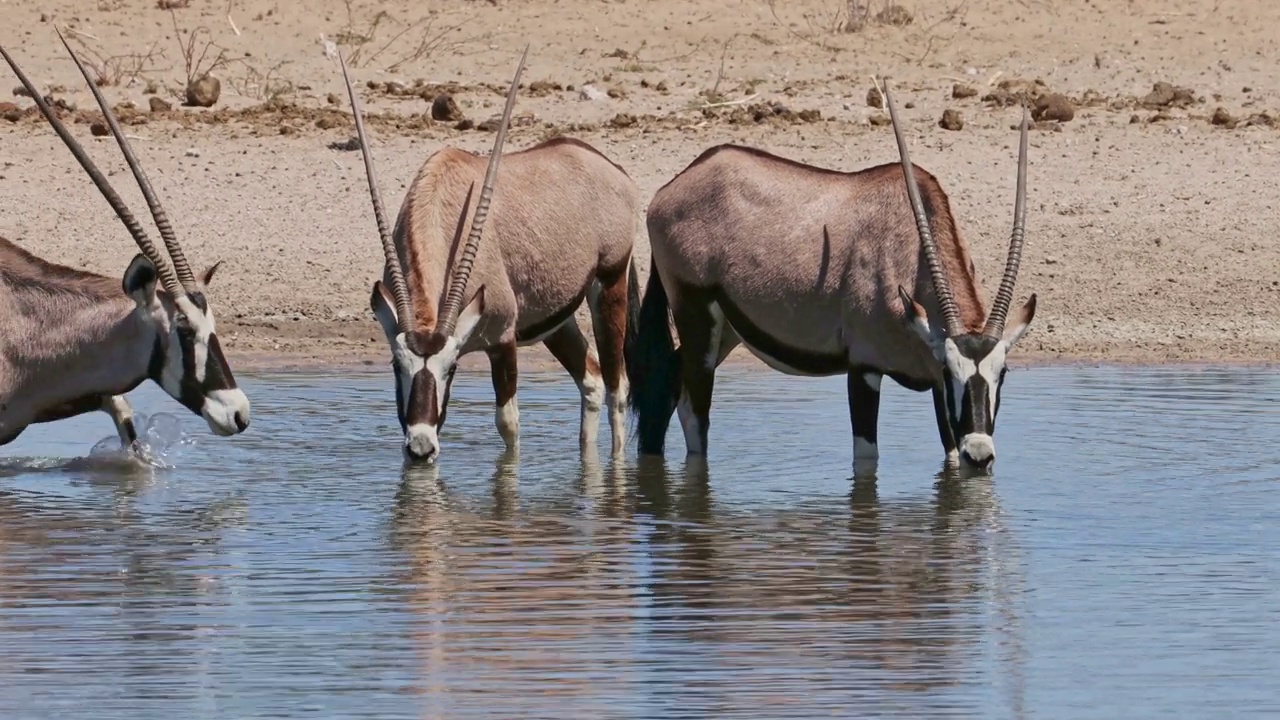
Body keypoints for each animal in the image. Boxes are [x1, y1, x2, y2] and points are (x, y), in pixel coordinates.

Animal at [343, 51, 645, 466]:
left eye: (452, 367)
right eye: (395, 365)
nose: (421, 447)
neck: (438, 206)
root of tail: (614, 171)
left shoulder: (503, 340)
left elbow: (508, 425)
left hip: (609, 284)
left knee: (618, 386)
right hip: (555, 320)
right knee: (593, 380)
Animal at [629, 83, 1039, 471]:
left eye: (1002, 372)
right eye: (950, 368)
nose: (980, 455)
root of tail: (669, 191)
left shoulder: (939, 391)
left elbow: (950, 455)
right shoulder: (864, 368)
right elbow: (866, 459)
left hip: (727, 330)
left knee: (668, 387)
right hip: (696, 314)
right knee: (693, 412)